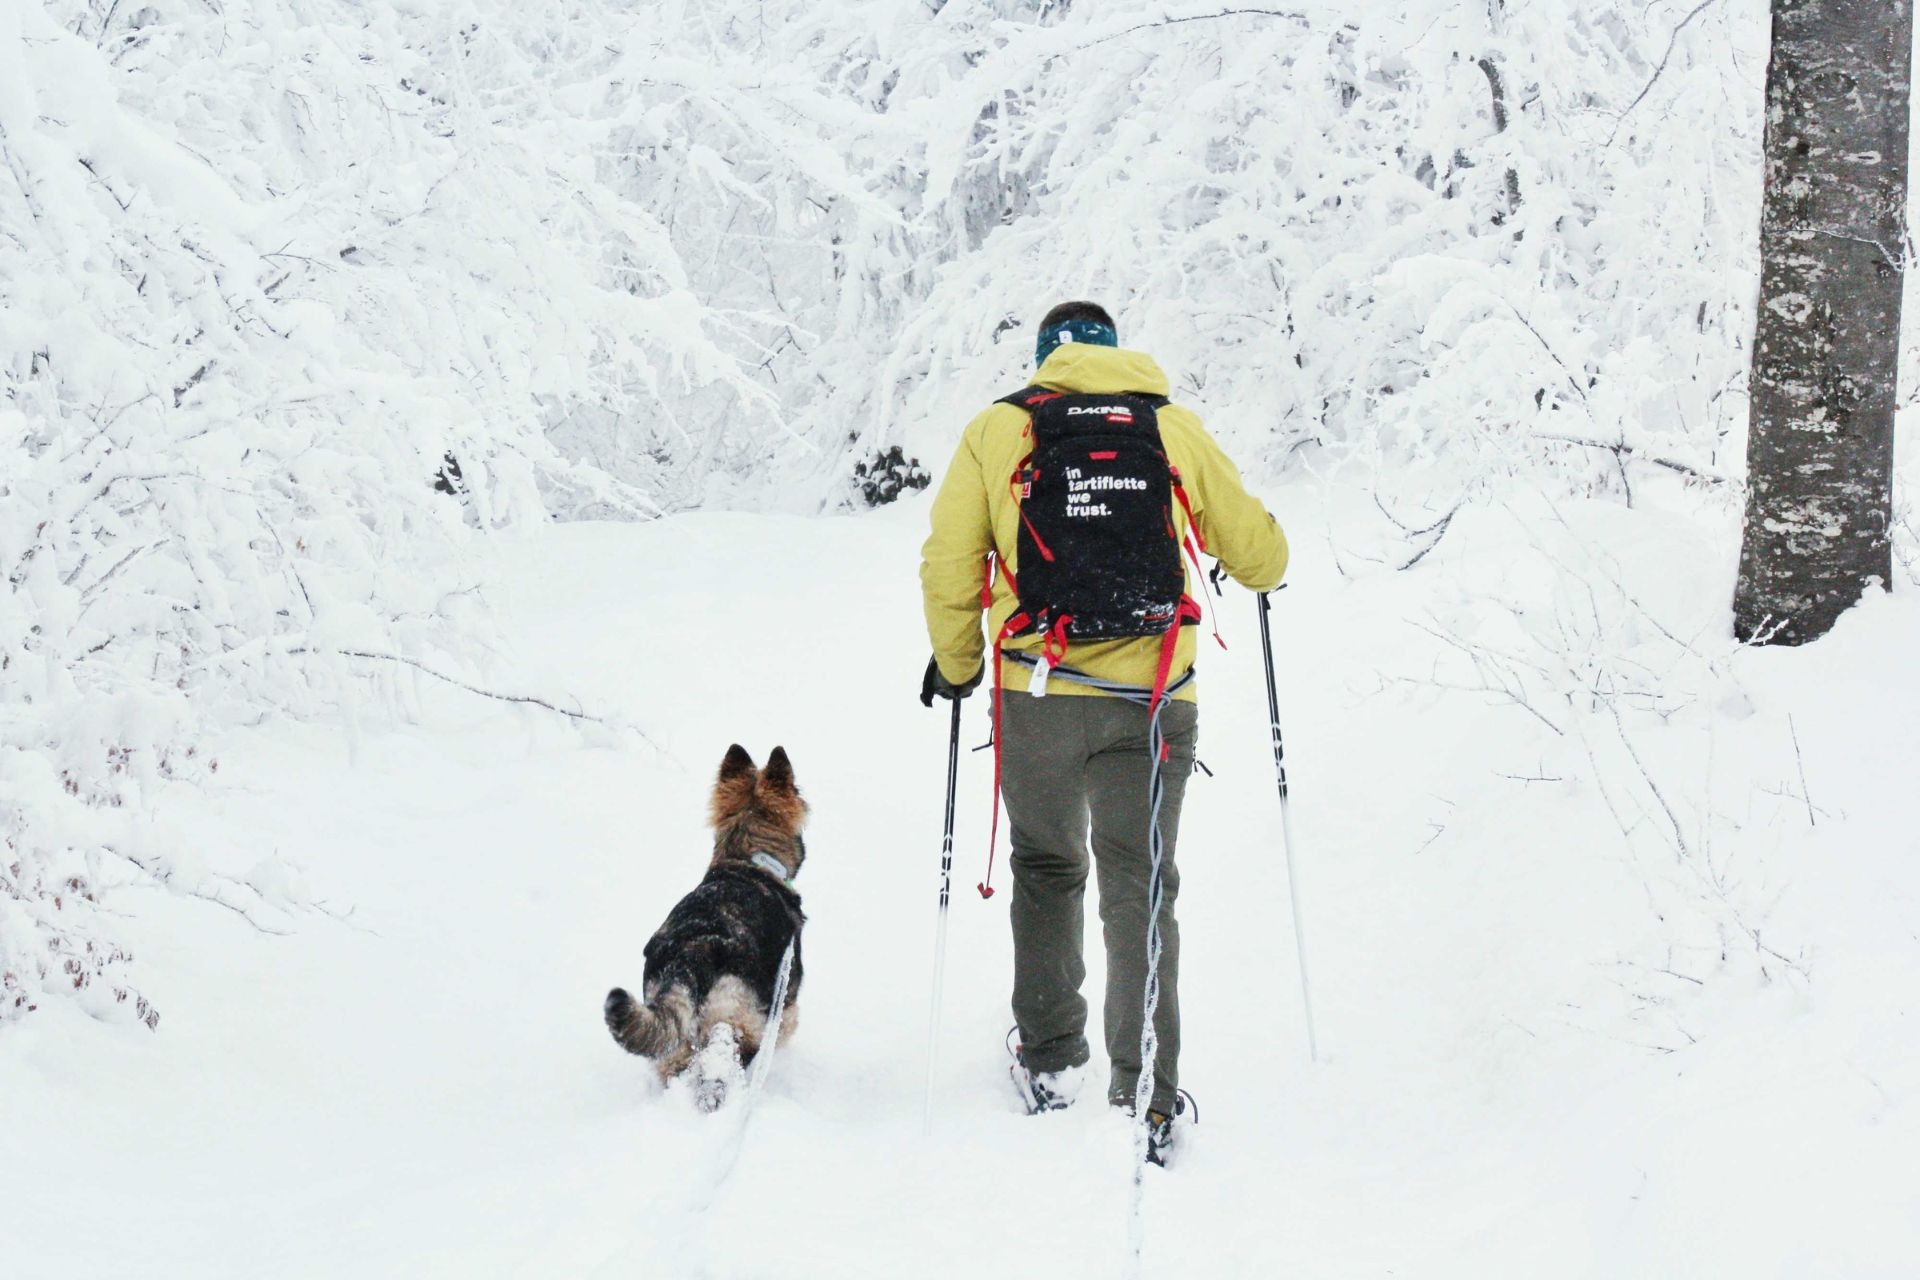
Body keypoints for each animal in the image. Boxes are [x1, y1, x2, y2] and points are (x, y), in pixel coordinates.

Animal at [606, 744, 802, 1105]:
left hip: (673, 1032)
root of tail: (691, 953)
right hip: (732, 1017)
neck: (747, 860)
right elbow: (785, 1027)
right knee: (722, 1065)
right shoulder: (785, 994)